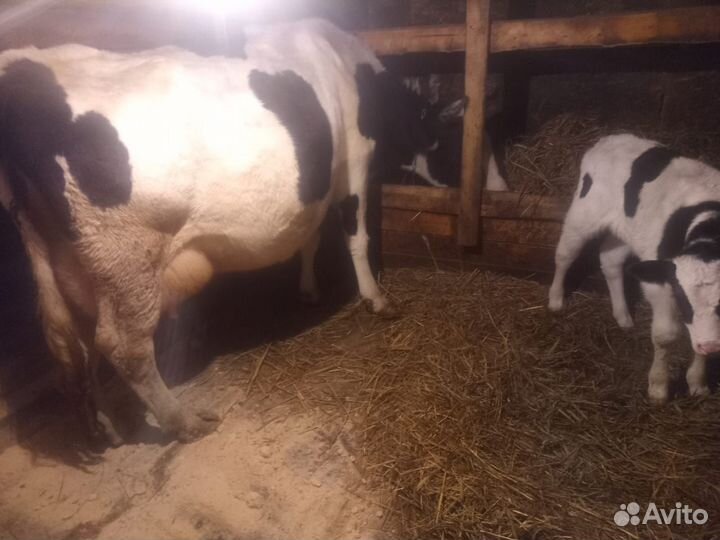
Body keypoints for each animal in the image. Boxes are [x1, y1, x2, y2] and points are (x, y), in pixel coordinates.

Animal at [0, 19, 442, 443]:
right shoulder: (355, 164)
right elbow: (356, 236)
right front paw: (377, 299)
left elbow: (309, 239)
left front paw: (309, 289)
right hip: (125, 256)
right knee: (123, 347)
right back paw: (185, 422)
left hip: (70, 259)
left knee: (79, 339)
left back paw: (105, 428)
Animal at [548, 133, 720, 404]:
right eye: (684, 299)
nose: (711, 346)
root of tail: (610, 138)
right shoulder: (659, 283)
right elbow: (665, 336)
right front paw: (658, 388)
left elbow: (702, 337)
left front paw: (698, 384)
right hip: (583, 216)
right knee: (565, 255)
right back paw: (555, 300)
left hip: (626, 233)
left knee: (610, 261)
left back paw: (623, 316)